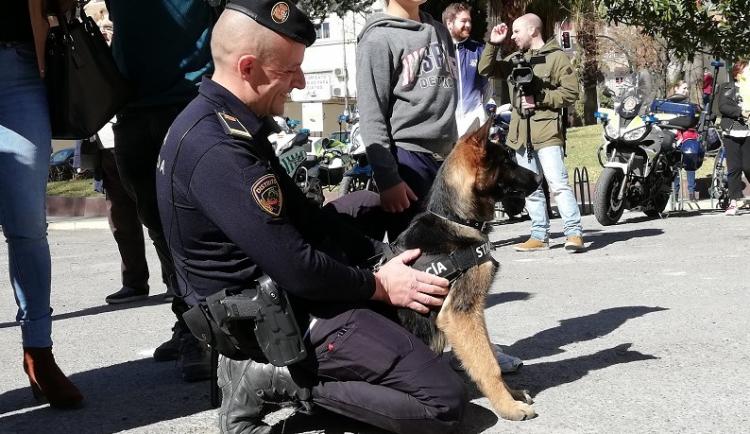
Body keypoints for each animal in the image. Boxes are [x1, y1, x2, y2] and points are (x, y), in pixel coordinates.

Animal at [394, 118, 540, 420]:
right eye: (507, 160)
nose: (540, 180)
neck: (456, 218)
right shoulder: (461, 313)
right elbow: (487, 364)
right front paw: (507, 406)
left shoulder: (475, 310)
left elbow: (488, 352)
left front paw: (511, 394)